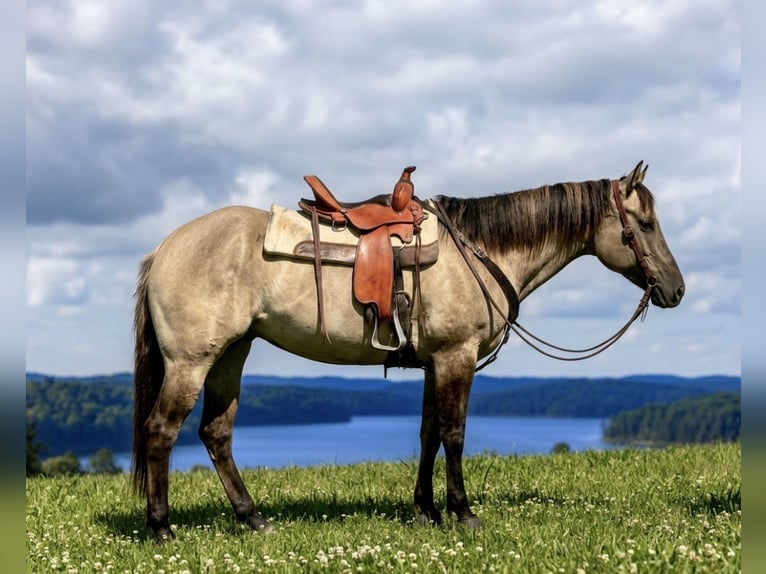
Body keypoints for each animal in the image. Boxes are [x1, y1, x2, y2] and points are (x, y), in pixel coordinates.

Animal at [131, 161, 684, 541]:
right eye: (645, 224)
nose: (676, 290)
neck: (480, 249)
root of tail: (164, 248)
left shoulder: (434, 363)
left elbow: (428, 435)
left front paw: (426, 510)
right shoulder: (457, 356)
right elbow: (455, 435)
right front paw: (462, 512)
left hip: (231, 355)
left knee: (216, 434)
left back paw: (253, 519)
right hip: (191, 363)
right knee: (161, 431)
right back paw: (161, 527)